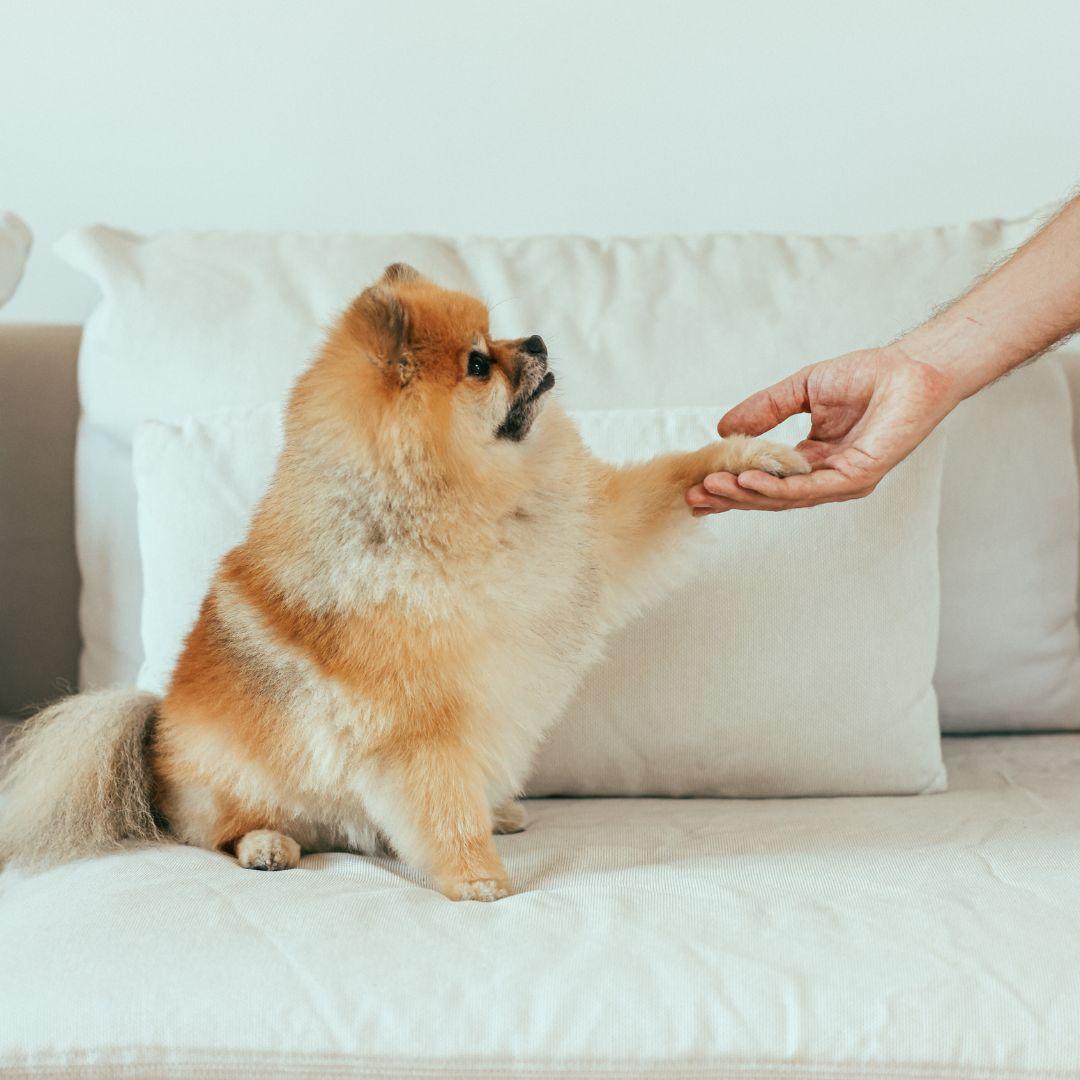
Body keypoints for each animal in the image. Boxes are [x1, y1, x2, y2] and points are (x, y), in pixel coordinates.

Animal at [0, 265, 807, 898]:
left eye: (498, 335)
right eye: (479, 364)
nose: (537, 342)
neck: (482, 506)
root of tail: (154, 731)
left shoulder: (599, 537)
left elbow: (672, 479)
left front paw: (750, 457)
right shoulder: (418, 725)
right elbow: (440, 806)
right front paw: (475, 876)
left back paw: (498, 807)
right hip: (230, 780)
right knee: (216, 831)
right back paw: (268, 845)